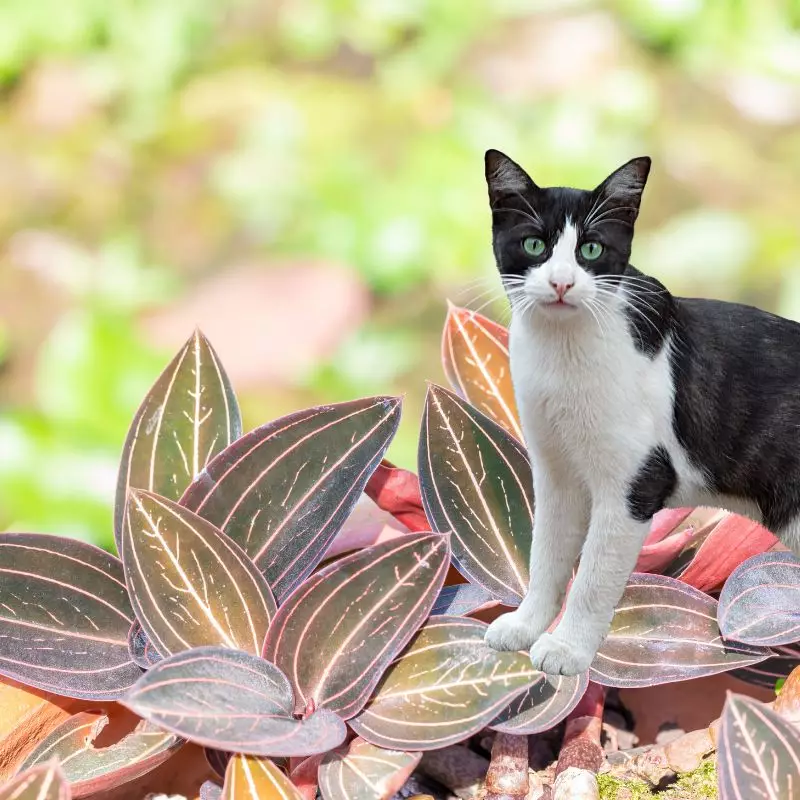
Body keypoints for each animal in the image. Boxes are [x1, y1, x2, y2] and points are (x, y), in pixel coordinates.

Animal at [482, 148, 800, 676]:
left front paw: (567, 649)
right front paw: (526, 625)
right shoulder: (555, 473)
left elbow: (592, 578)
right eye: (534, 244)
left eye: (591, 250)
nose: (562, 283)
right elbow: (546, 555)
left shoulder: (634, 484)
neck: (563, 357)